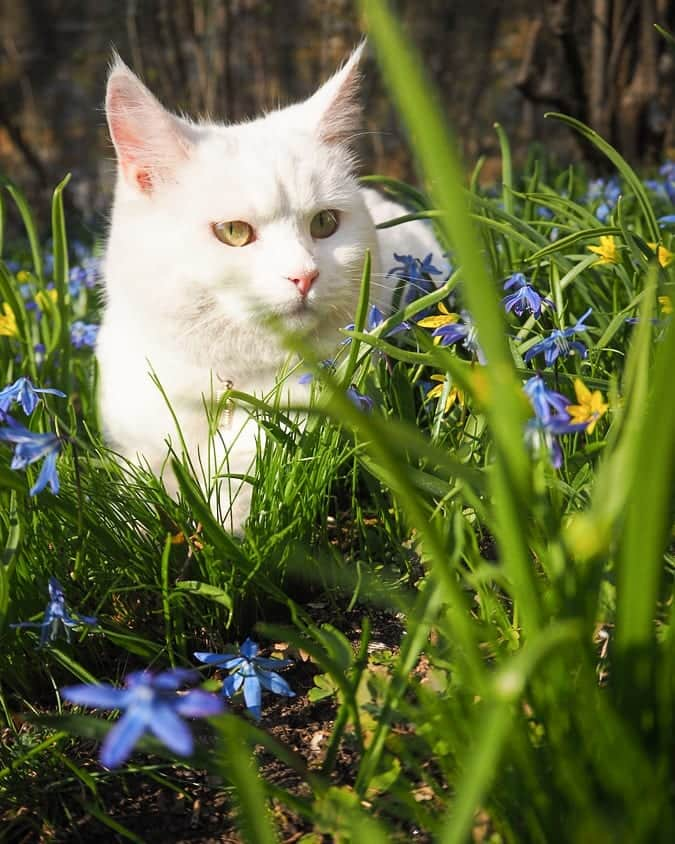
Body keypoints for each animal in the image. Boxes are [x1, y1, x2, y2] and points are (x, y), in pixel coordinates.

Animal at [96, 44, 444, 528]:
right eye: (234, 232)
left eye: (325, 223)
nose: (304, 275)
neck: (224, 385)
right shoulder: (136, 448)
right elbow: (130, 507)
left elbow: (243, 484)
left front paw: (225, 523)